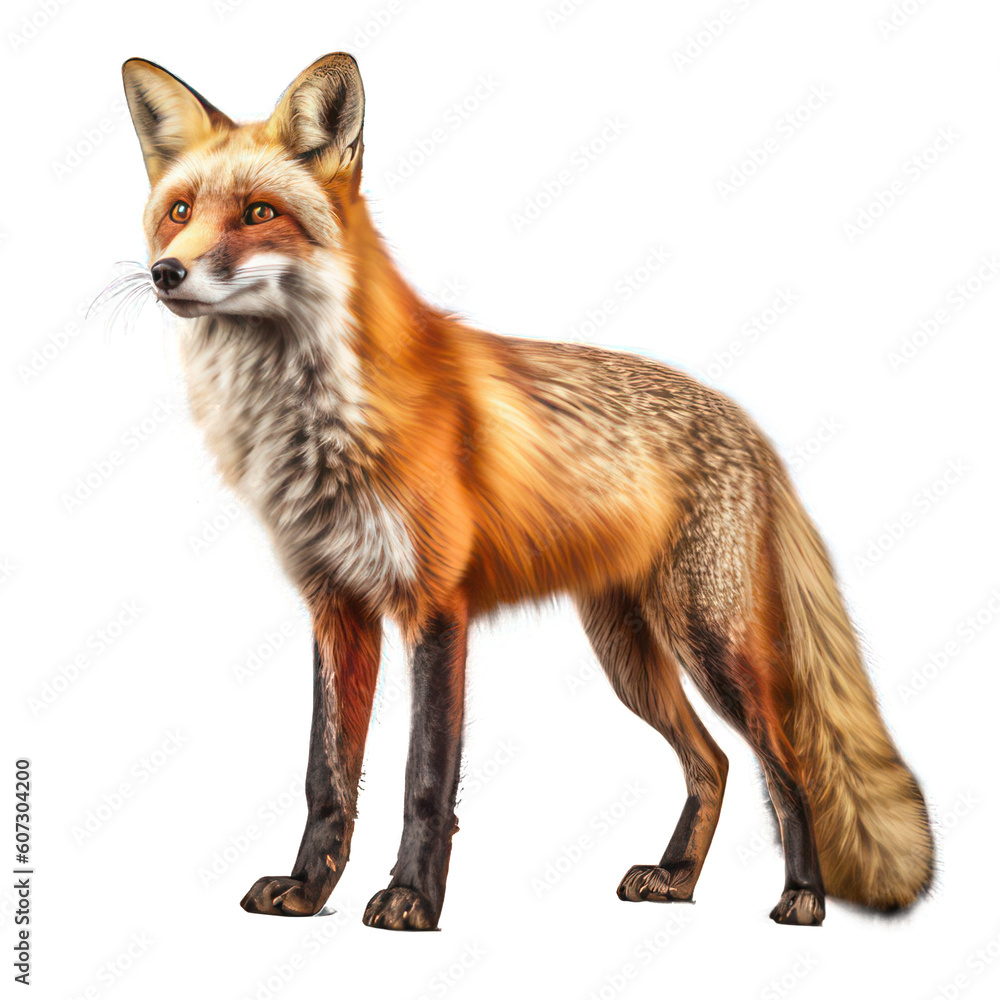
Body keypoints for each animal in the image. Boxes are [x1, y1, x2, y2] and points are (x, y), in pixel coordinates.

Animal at [119, 52, 933, 930]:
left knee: (786, 768)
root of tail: (749, 425)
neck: (312, 429)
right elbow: (325, 778)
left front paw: (412, 897)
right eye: (179, 212)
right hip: (629, 656)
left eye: (259, 213)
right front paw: (307, 890)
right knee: (712, 762)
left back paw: (801, 895)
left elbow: (425, 778)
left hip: (712, 644)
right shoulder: (337, 608)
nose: (166, 272)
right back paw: (676, 878)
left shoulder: (436, 605)